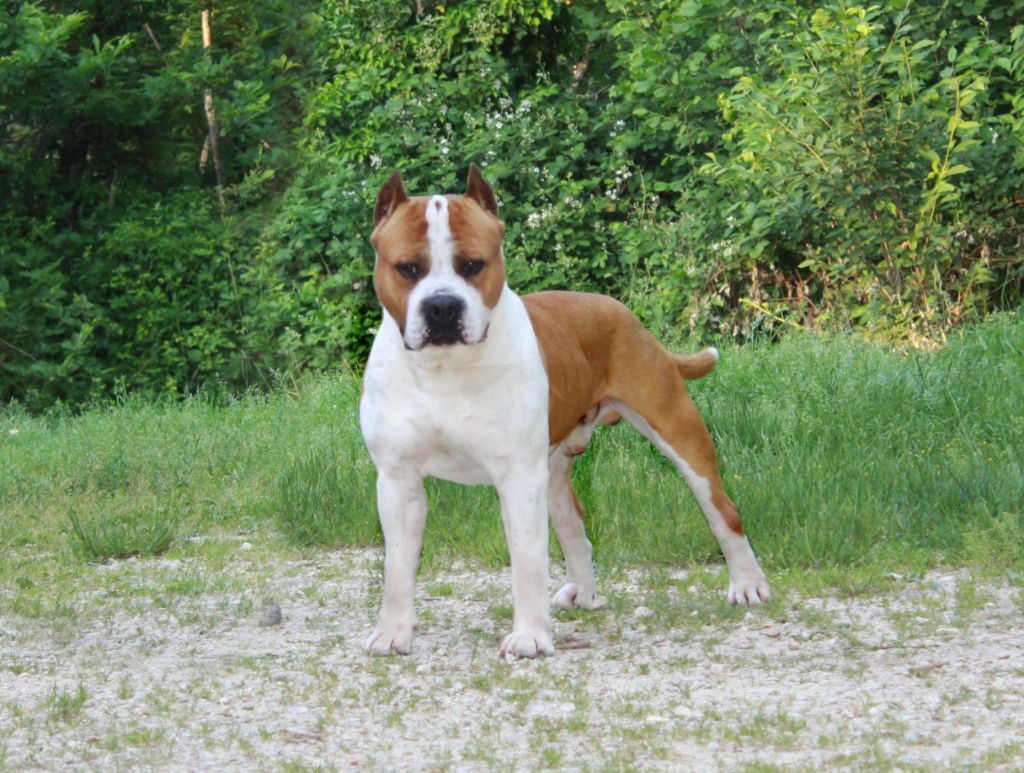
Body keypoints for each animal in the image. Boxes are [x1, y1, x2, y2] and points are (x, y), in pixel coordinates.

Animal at [360, 165, 770, 658]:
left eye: (473, 265)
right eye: (408, 268)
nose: (442, 306)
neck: (444, 369)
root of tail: (620, 309)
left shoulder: (518, 478)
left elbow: (527, 560)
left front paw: (529, 636)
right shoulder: (397, 480)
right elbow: (397, 567)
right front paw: (393, 632)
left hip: (678, 431)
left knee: (723, 512)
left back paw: (747, 584)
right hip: (553, 471)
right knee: (575, 526)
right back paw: (584, 592)